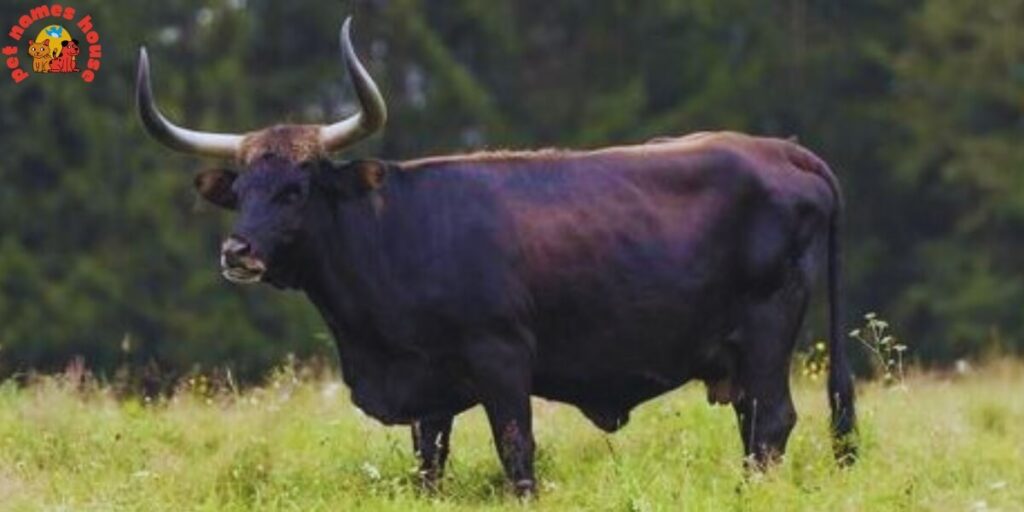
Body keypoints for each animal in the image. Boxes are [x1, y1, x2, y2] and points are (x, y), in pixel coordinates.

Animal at [136, 17, 856, 497]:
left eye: (297, 188)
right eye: (242, 193)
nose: (237, 251)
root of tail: (785, 150)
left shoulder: (501, 357)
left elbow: (518, 454)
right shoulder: (427, 392)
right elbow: (429, 466)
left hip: (766, 329)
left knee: (772, 424)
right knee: (754, 425)